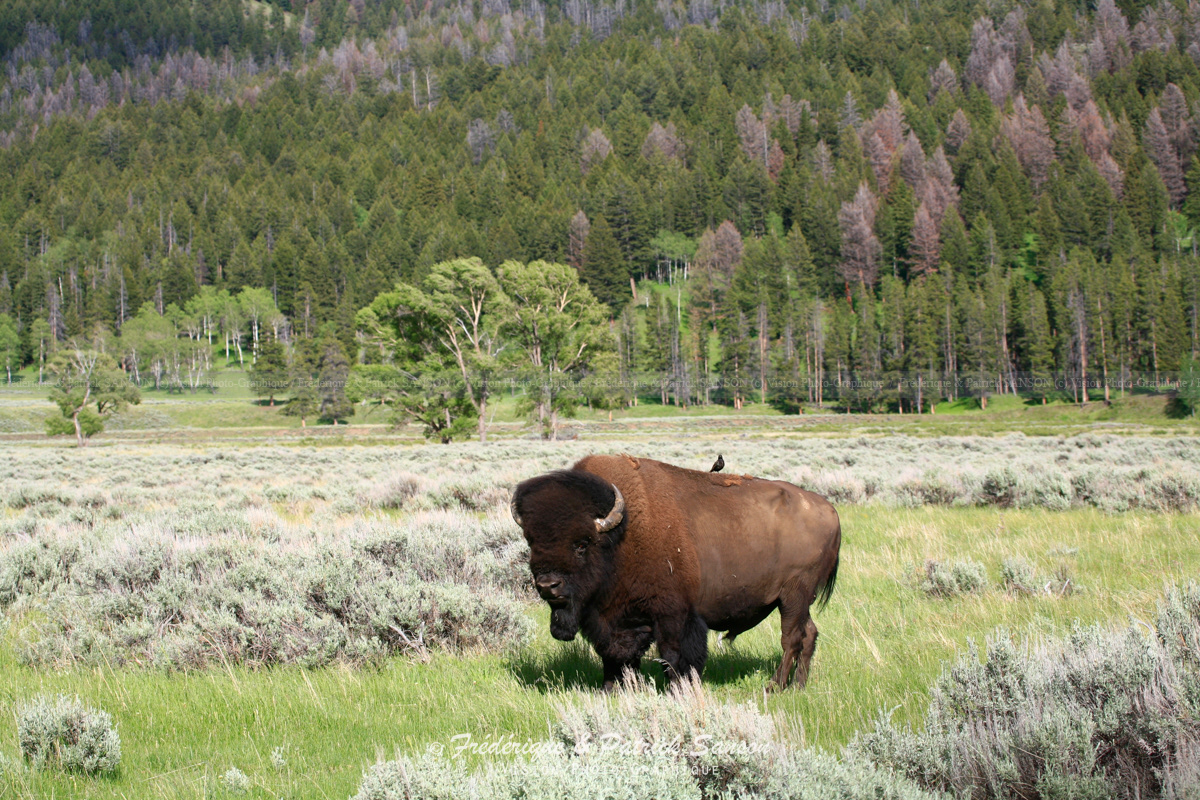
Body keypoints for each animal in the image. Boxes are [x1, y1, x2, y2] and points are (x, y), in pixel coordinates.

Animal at [510, 454, 841, 690]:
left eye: (581, 543)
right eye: (532, 541)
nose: (548, 585)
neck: (621, 534)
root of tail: (828, 509)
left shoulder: (675, 614)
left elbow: (674, 655)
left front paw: (678, 690)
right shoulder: (618, 619)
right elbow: (616, 656)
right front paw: (612, 689)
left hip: (793, 595)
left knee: (792, 638)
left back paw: (775, 686)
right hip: (799, 601)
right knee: (809, 634)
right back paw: (798, 686)